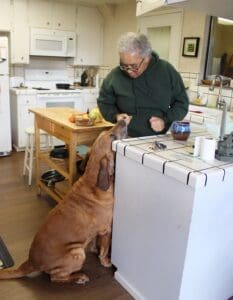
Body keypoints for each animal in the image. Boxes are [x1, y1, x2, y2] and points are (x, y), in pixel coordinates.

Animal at [0, 119, 127, 284]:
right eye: (112, 136)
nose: (123, 119)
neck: (92, 180)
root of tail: (31, 262)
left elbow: (94, 242)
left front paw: (94, 249)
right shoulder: (106, 230)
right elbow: (104, 250)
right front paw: (106, 261)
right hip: (77, 253)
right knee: (56, 277)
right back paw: (79, 277)